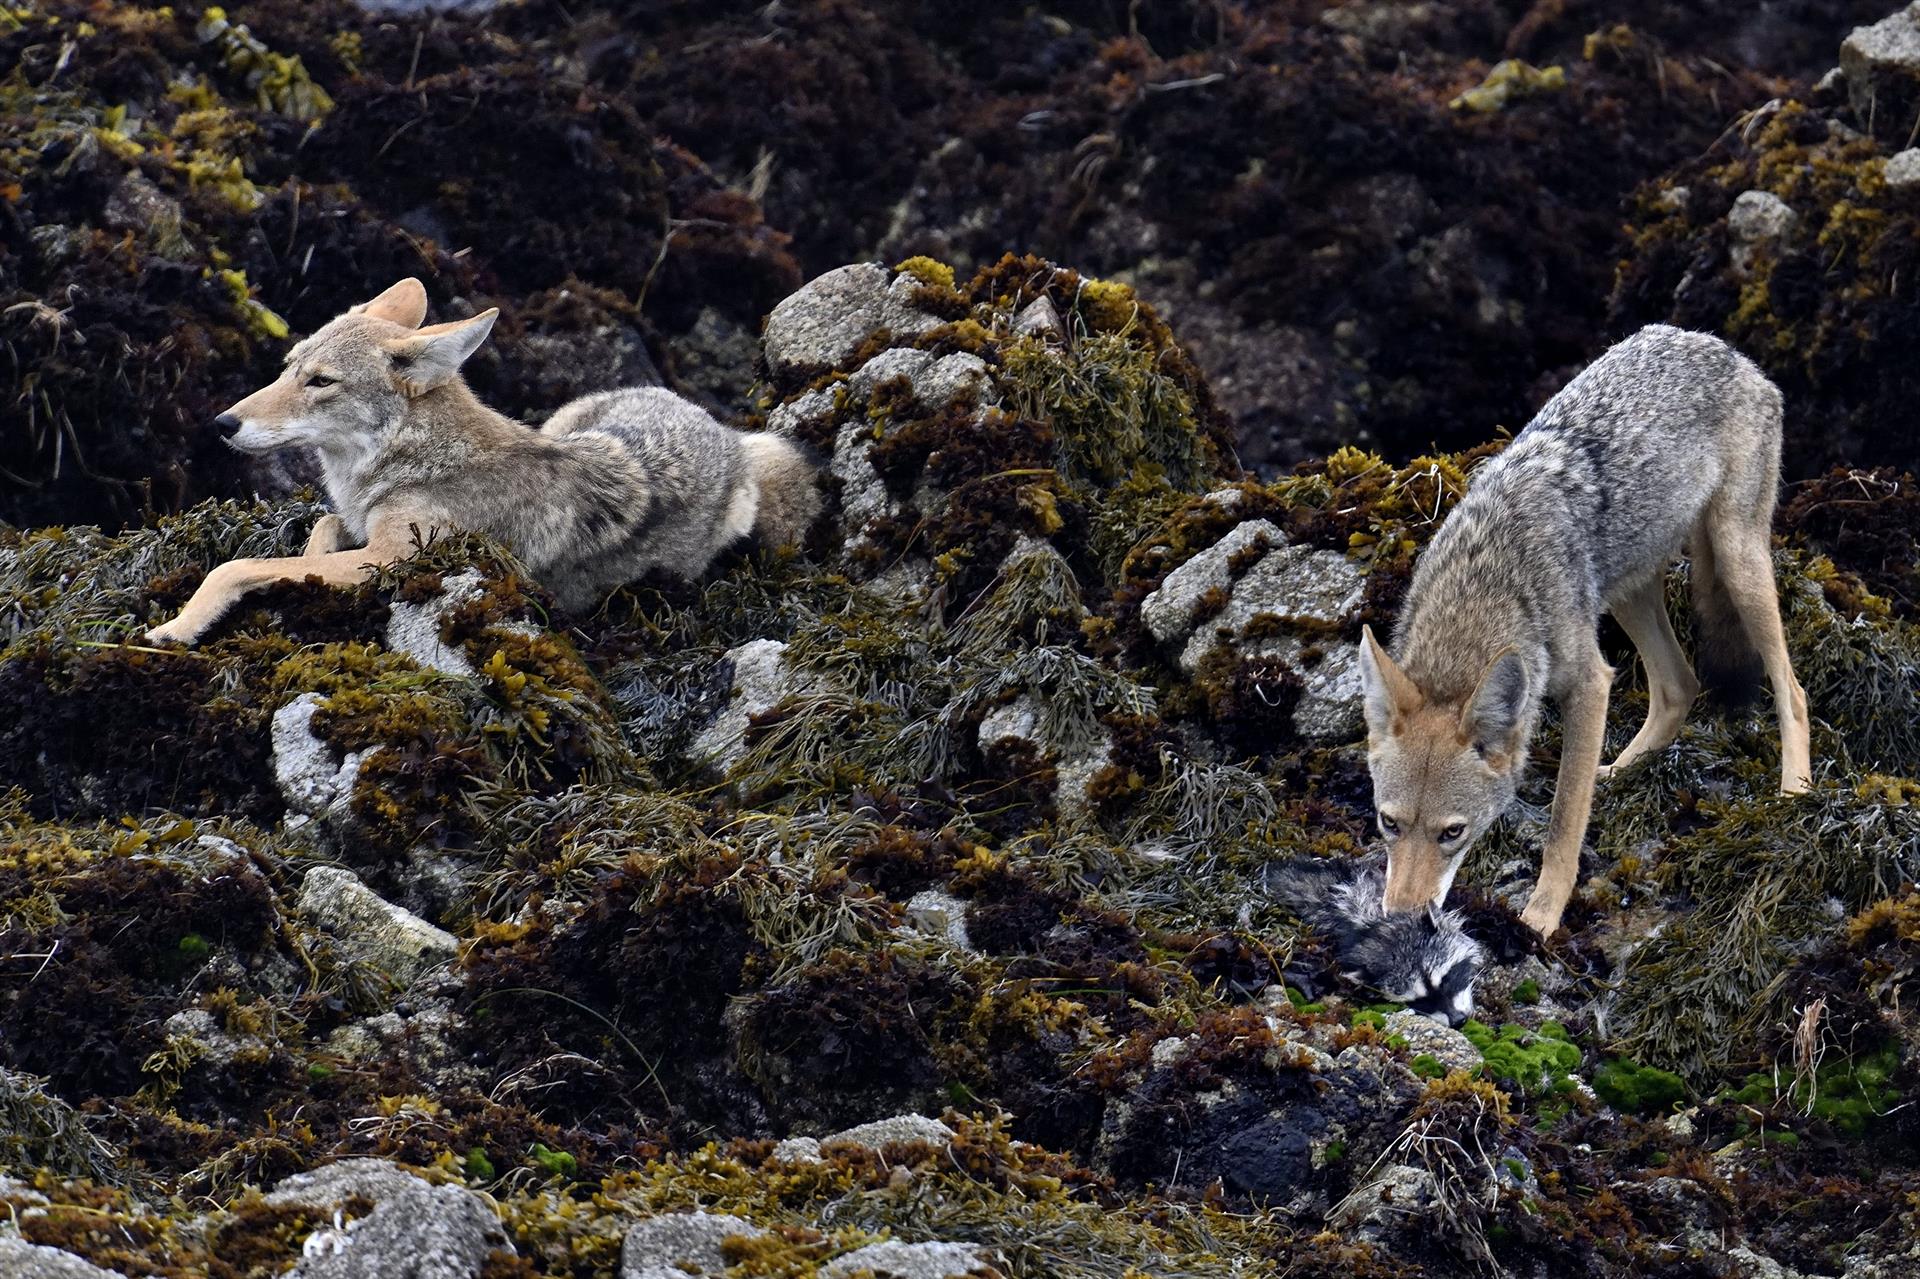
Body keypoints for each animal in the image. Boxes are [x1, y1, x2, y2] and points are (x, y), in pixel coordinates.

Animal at [145, 278, 819, 645]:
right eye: (288, 368)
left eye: (320, 382)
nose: (223, 423)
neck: (411, 461)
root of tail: (720, 428)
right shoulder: (362, 531)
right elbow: (321, 525)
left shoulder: (393, 559)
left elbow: (234, 566)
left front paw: (176, 628)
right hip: (567, 418)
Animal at [1357, 324, 1812, 938]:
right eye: (1389, 824)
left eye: (1452, 833)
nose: (1403, 921)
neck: (1485, 588)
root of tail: (1727, 351)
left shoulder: (1592, 681)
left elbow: (1564, 822)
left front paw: (1540, 917)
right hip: (1629, 591)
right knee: (1679, 686)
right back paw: (1619, 771)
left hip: (1737, 559)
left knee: (1792, 690)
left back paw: (1794, 793)